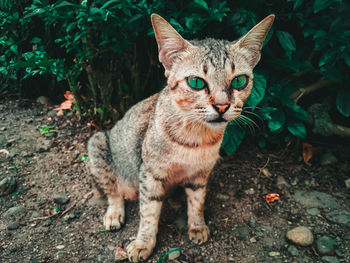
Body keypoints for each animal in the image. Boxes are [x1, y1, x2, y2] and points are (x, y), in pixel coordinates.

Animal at [87, 13, 274, 262]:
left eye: (239, 81)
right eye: (196, 82)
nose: (222, 106)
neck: (195, 139)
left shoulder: (200, 174)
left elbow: (197, 202)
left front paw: (197, 227)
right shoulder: (150, 173)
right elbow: (149, 212)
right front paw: (143, 242)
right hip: (98, 144)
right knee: (113, 193)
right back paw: (114, 214)